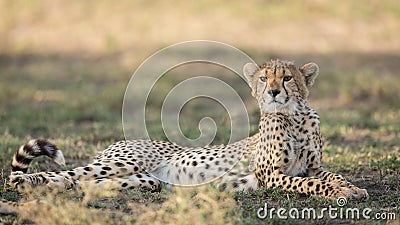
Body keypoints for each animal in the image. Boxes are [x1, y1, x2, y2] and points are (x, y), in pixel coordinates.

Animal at [0, 59, 368, 212]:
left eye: (288, 77)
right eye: (264, 78)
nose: (275, 91)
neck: (296, 116)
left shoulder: (313, 165)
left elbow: (330, 175)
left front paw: (352, 187)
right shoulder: (272, 176)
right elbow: (311, 184)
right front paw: (341, 193)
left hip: (144, 181)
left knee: (82, 184)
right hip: (118, 164)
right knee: (56, 176)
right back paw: (26, 184)